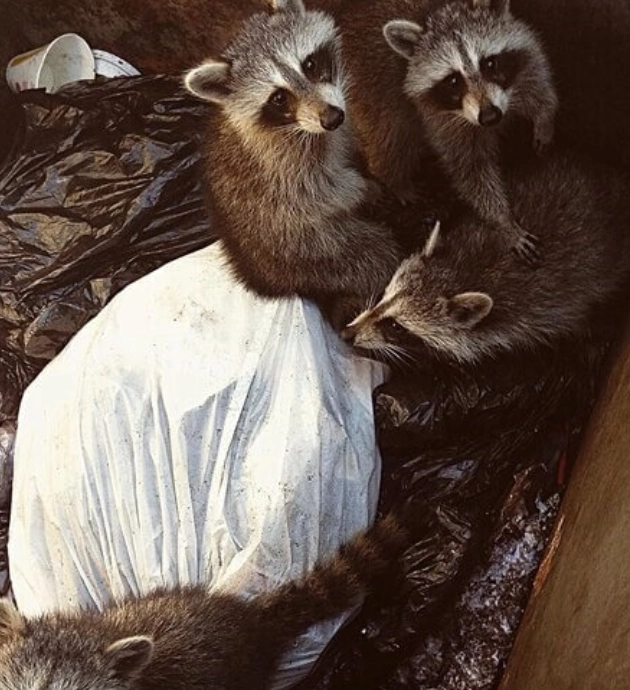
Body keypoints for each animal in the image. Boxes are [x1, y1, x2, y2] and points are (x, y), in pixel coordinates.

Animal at [184, 0, 403, 321]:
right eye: (278, 98)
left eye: (309, 65)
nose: (333, 118)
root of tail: (268, 280)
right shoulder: (280, 164)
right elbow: (318, 191)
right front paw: (362, 189)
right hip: (312, 251)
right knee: (374, 256)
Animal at [383, 0, 558, 260]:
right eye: (453, 80)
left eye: (489, 64)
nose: (490, 116)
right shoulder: (442, 120)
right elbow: (472, 170)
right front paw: (502, 221)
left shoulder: (524, 57)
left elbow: (539, 81)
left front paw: (545, 119)